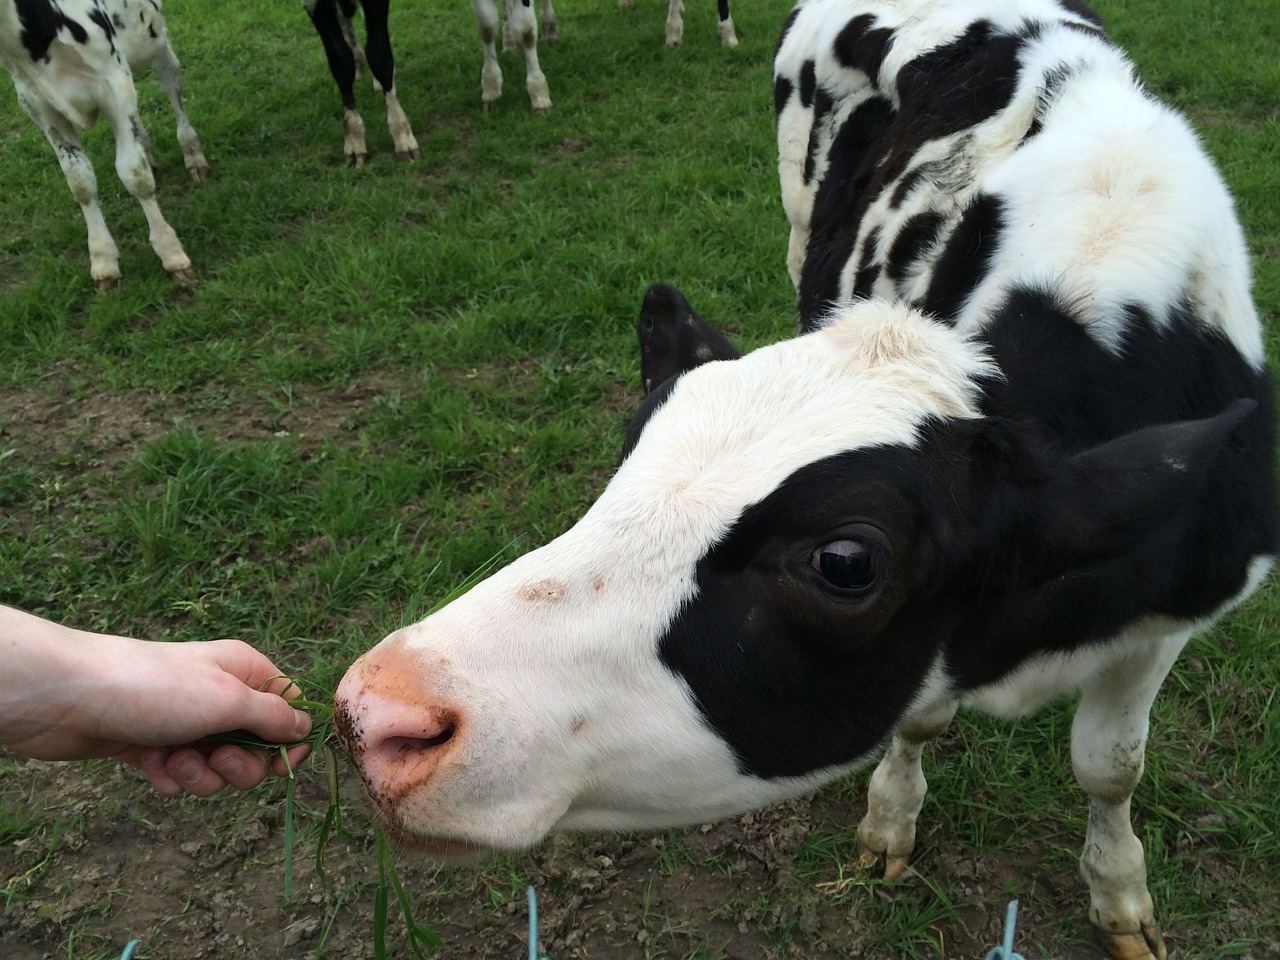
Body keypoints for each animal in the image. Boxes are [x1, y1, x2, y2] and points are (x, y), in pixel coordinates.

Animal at [0, 0, 202, 289]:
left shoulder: (114, 83)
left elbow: (135, 175)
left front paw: (171, 253)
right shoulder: (38, 104)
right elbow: (80, 182)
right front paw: (103, 260)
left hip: (152, 41)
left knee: (172, 84)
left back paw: (193, 154)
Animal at [335, 1, 1274, 960]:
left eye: (847, 562)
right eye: (631, 448)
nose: (381, 711)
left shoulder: (1173, 605)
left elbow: (1112, 766)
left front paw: (1120, 894)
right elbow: (922, 717)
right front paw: (893, 817)